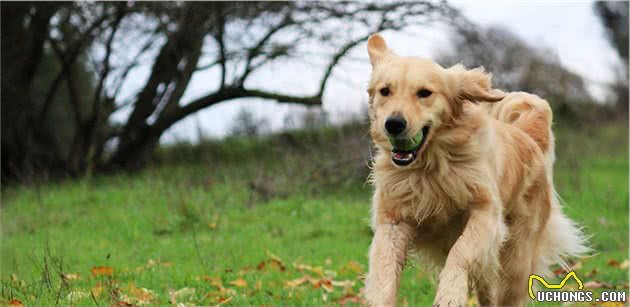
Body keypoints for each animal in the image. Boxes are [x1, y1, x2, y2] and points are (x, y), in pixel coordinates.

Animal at [362, 34, 592, 307]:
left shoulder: (486, 214)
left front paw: (450, 294)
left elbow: (460, 251)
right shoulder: (393, 221)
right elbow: (384, 271)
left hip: (516, 256)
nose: (394, 124)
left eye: (424, 93)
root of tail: (528, 136)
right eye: (385, 91)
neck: (430, 169)